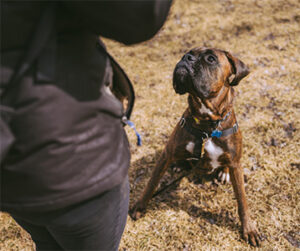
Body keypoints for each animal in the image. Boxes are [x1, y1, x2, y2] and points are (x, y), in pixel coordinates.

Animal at [130, 47, 262, 247]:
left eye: (211, 59)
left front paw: (249, 229)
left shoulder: (236, 164)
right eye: (188, 53)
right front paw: (140, 206)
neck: (207, 125)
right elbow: (151, 183)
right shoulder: (166, 154)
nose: (187, 58)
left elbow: (242, 201)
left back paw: (223, 173)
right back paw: (180, 165)